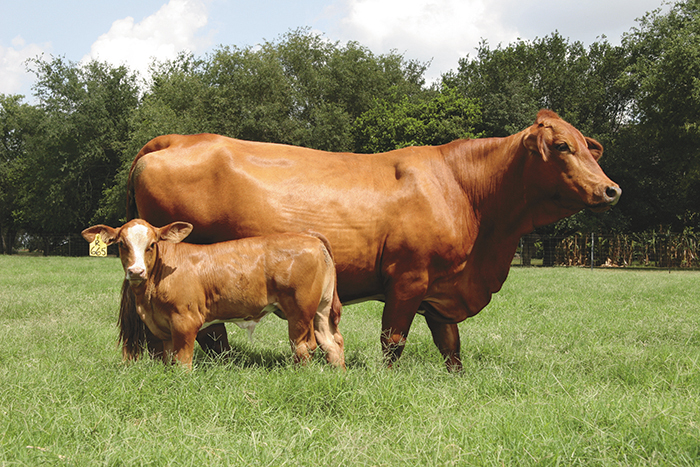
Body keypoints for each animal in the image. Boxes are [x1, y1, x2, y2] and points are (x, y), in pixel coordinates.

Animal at [82, 219, 345, 369]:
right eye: (121, 244)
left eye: (152, 244)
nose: (136, 271)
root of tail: (308, 235)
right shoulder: (162, 330)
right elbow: (166, 361)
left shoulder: (185, 321)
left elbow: (182, 362)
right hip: (321, 308)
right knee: (331, 343)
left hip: (300, 310)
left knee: (304, 346)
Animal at [122, 109, 621, 371]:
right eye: (562, 147)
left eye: (588, 145)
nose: (611, 189)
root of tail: (177, 138)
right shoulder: (408, 279)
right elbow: (393, 339)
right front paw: (387, 377)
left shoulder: (441, 288)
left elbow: (450, 343)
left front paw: (457, 378)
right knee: (205, 331)